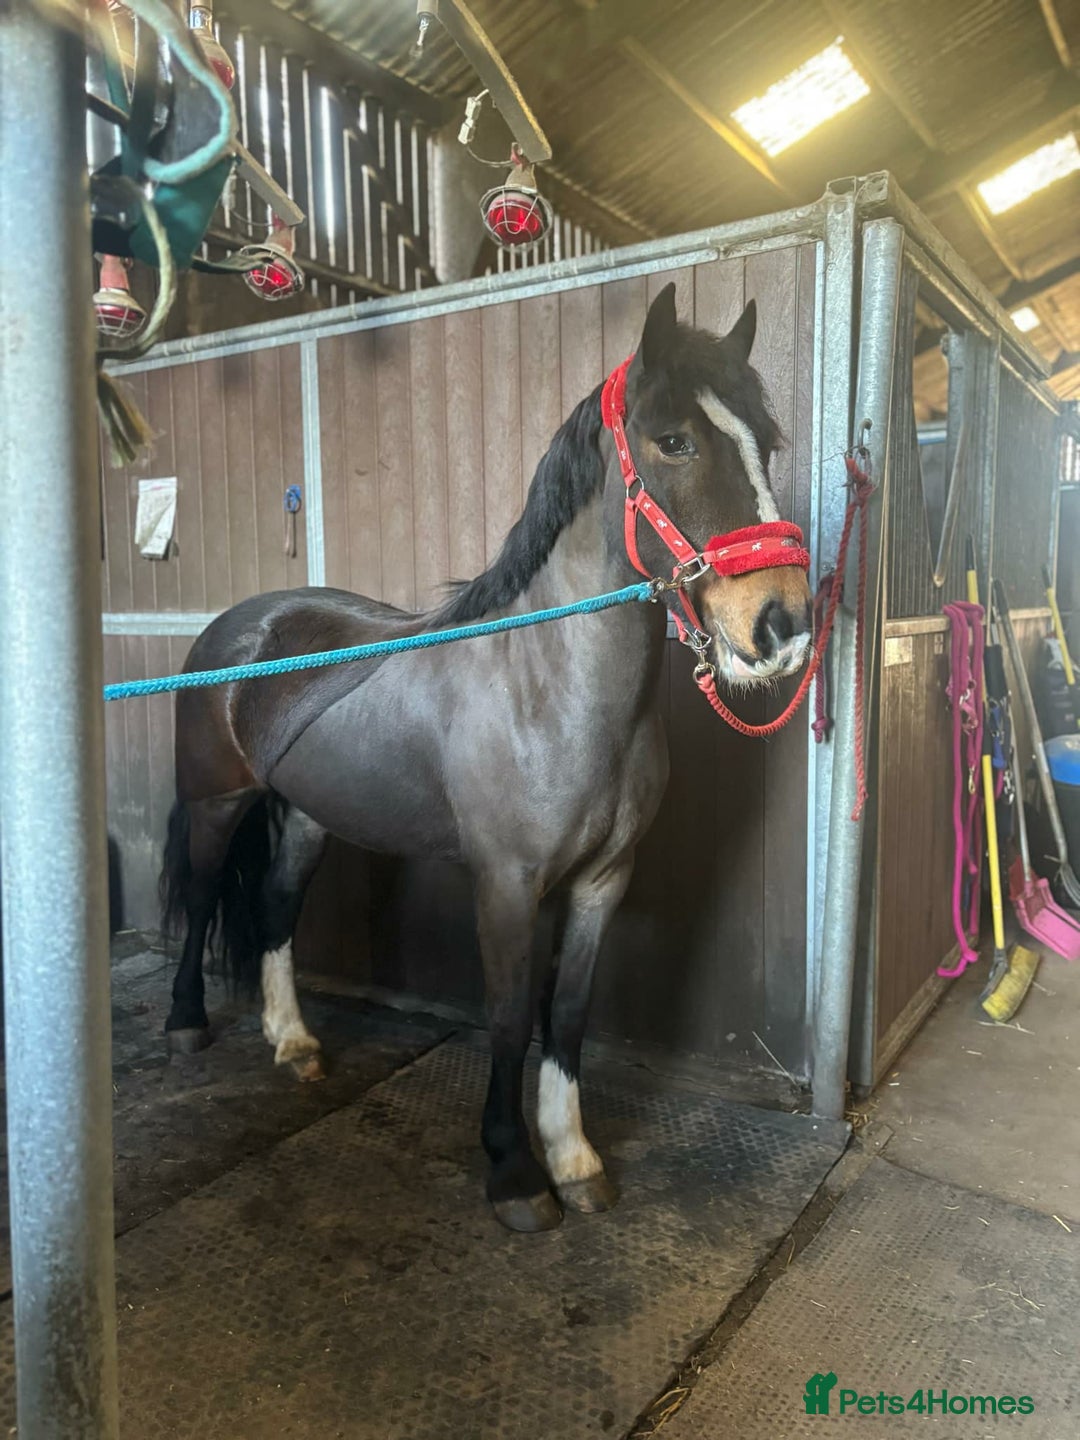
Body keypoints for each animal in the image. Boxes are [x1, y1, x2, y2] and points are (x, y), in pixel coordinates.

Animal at [160, 283, 812, 1232]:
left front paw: (574, 1159)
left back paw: (294, 1043)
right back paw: (185, 1027)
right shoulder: (506, 883)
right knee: (208, 895)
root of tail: (239, 627)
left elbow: (567, 1014)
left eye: (767, 442)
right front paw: (513, 1174)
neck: (550, 690)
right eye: (675, 441)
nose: (783, 623)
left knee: (277, 909)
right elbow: (507, 1017)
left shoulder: (602, 882)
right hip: (216, 802)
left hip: (309, 816)